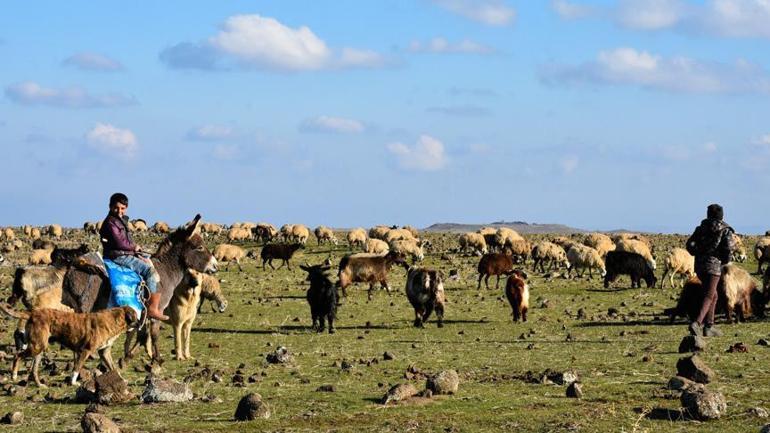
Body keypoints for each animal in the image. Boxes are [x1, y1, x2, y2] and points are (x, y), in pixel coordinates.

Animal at [0, 304, 136, 384]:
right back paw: (14, 375)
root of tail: (33, 313)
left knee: (34, 369)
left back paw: (40, 384)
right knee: (17, 356)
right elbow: (77, 368)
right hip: (36, 346)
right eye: (136, 315)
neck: (114, 319)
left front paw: (121, 380)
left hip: (39, 347)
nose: (140, 323)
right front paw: (73, 382)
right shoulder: (86, 350)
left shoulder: (104, 352)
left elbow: (114, 368)